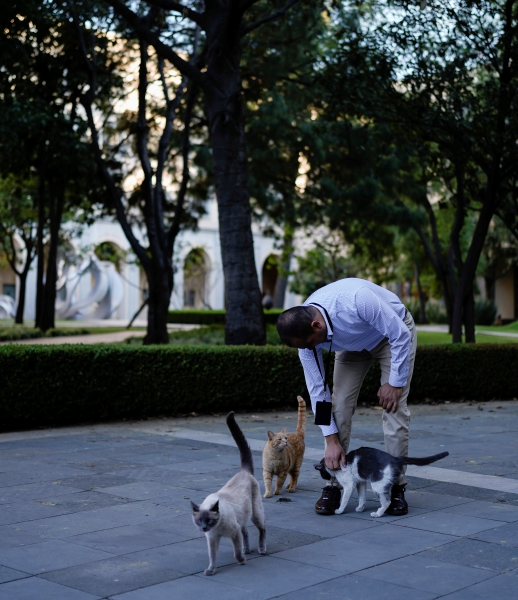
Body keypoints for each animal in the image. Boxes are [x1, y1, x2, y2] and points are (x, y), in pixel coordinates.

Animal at [190, 410, 266, 576]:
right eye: (199, 521)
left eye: (209, 520)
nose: (203, 528)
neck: (217, 529)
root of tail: (244, 471)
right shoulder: (212, 539)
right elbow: (213, 557)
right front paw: (211, 570)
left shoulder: (234, 533)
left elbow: (236, 552)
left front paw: (242, 560)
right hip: (243, 516)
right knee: (246, 532)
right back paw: (246, 549)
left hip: (255, 513)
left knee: (262, 529)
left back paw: (261, 549)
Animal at [314, 448, 448, 516]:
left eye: (322, 474)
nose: (326, 478)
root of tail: (395, 458)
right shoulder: (361, 482)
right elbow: (362, 497)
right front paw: (360, 508)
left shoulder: (349, 485)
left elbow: (344, 500)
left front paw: (340, 510)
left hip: (377, 486)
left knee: (387, 502)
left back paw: (378, 514)